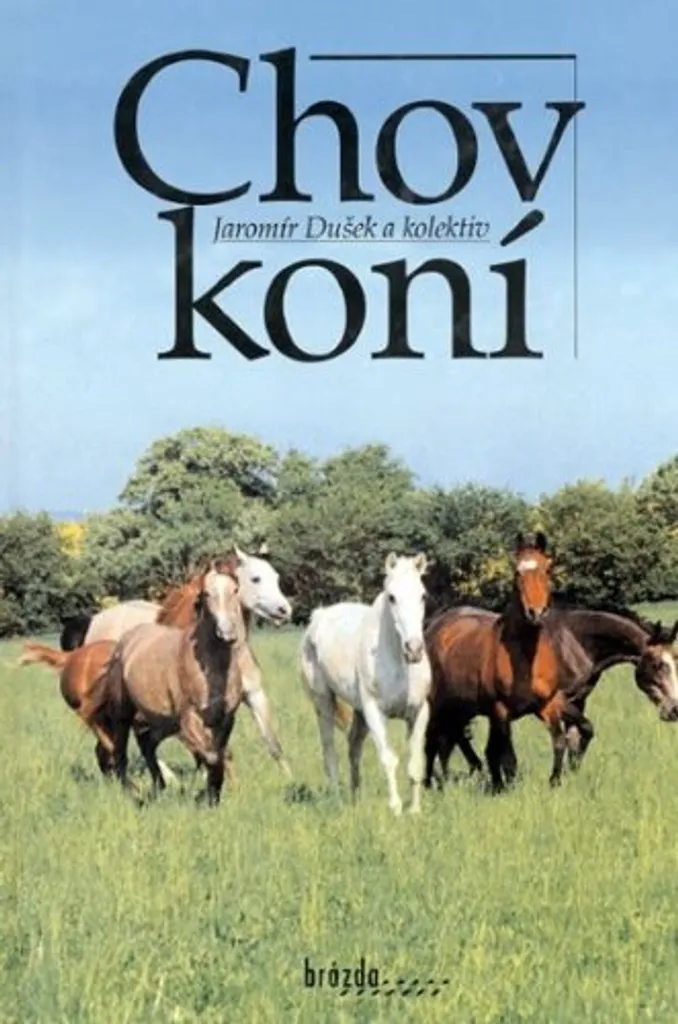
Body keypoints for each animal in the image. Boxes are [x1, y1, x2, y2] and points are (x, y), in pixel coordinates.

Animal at [96, 564, 247, 805]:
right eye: (206, 594)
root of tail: (127, 640)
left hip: (161, 721)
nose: (226, 633)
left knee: (147, 745)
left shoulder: (225, 719)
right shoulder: (189, 720)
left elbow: (220, 754)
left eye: (235, 589)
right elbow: (211, 756)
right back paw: (134, 794)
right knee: (120, 754)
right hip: (123, 714)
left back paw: (159, 787)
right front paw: (205, 795)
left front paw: (212, 795)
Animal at [300, 552, 432, 816]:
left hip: (358, 712)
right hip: (323, 702)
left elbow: (414, 762)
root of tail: (318, 616)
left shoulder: (419, 712)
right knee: (330, 752)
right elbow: (389, 759)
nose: (414, 649)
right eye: (392, 597)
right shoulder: (374, 712)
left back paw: (356, 798)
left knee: (353, 747)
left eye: (423, 595)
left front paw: (415, 810)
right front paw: (396, 809)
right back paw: (338, 802)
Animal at [423, 531, 587, 793]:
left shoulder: (548, 704)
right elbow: (508, 758)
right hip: (437, 705)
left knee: (452, 742)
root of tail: (434, 627)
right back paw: (428, 785)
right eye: (517, 572)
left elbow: (559, 742)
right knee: (431, 742)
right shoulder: (501, 711)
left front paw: (554, 782)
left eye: (547, 569)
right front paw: (506, 790)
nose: (536, 613)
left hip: (461, 708)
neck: (526, 660)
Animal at [427, 606, 678, 788]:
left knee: (457, 739)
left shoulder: (577, 701)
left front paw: (572, 771)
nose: (674, 710)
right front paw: (557, 778)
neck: (573, 643)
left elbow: (580, 733)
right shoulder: (555, 703)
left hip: (466, 707)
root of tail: (433, 626)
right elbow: (570, 736)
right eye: (657, 665)